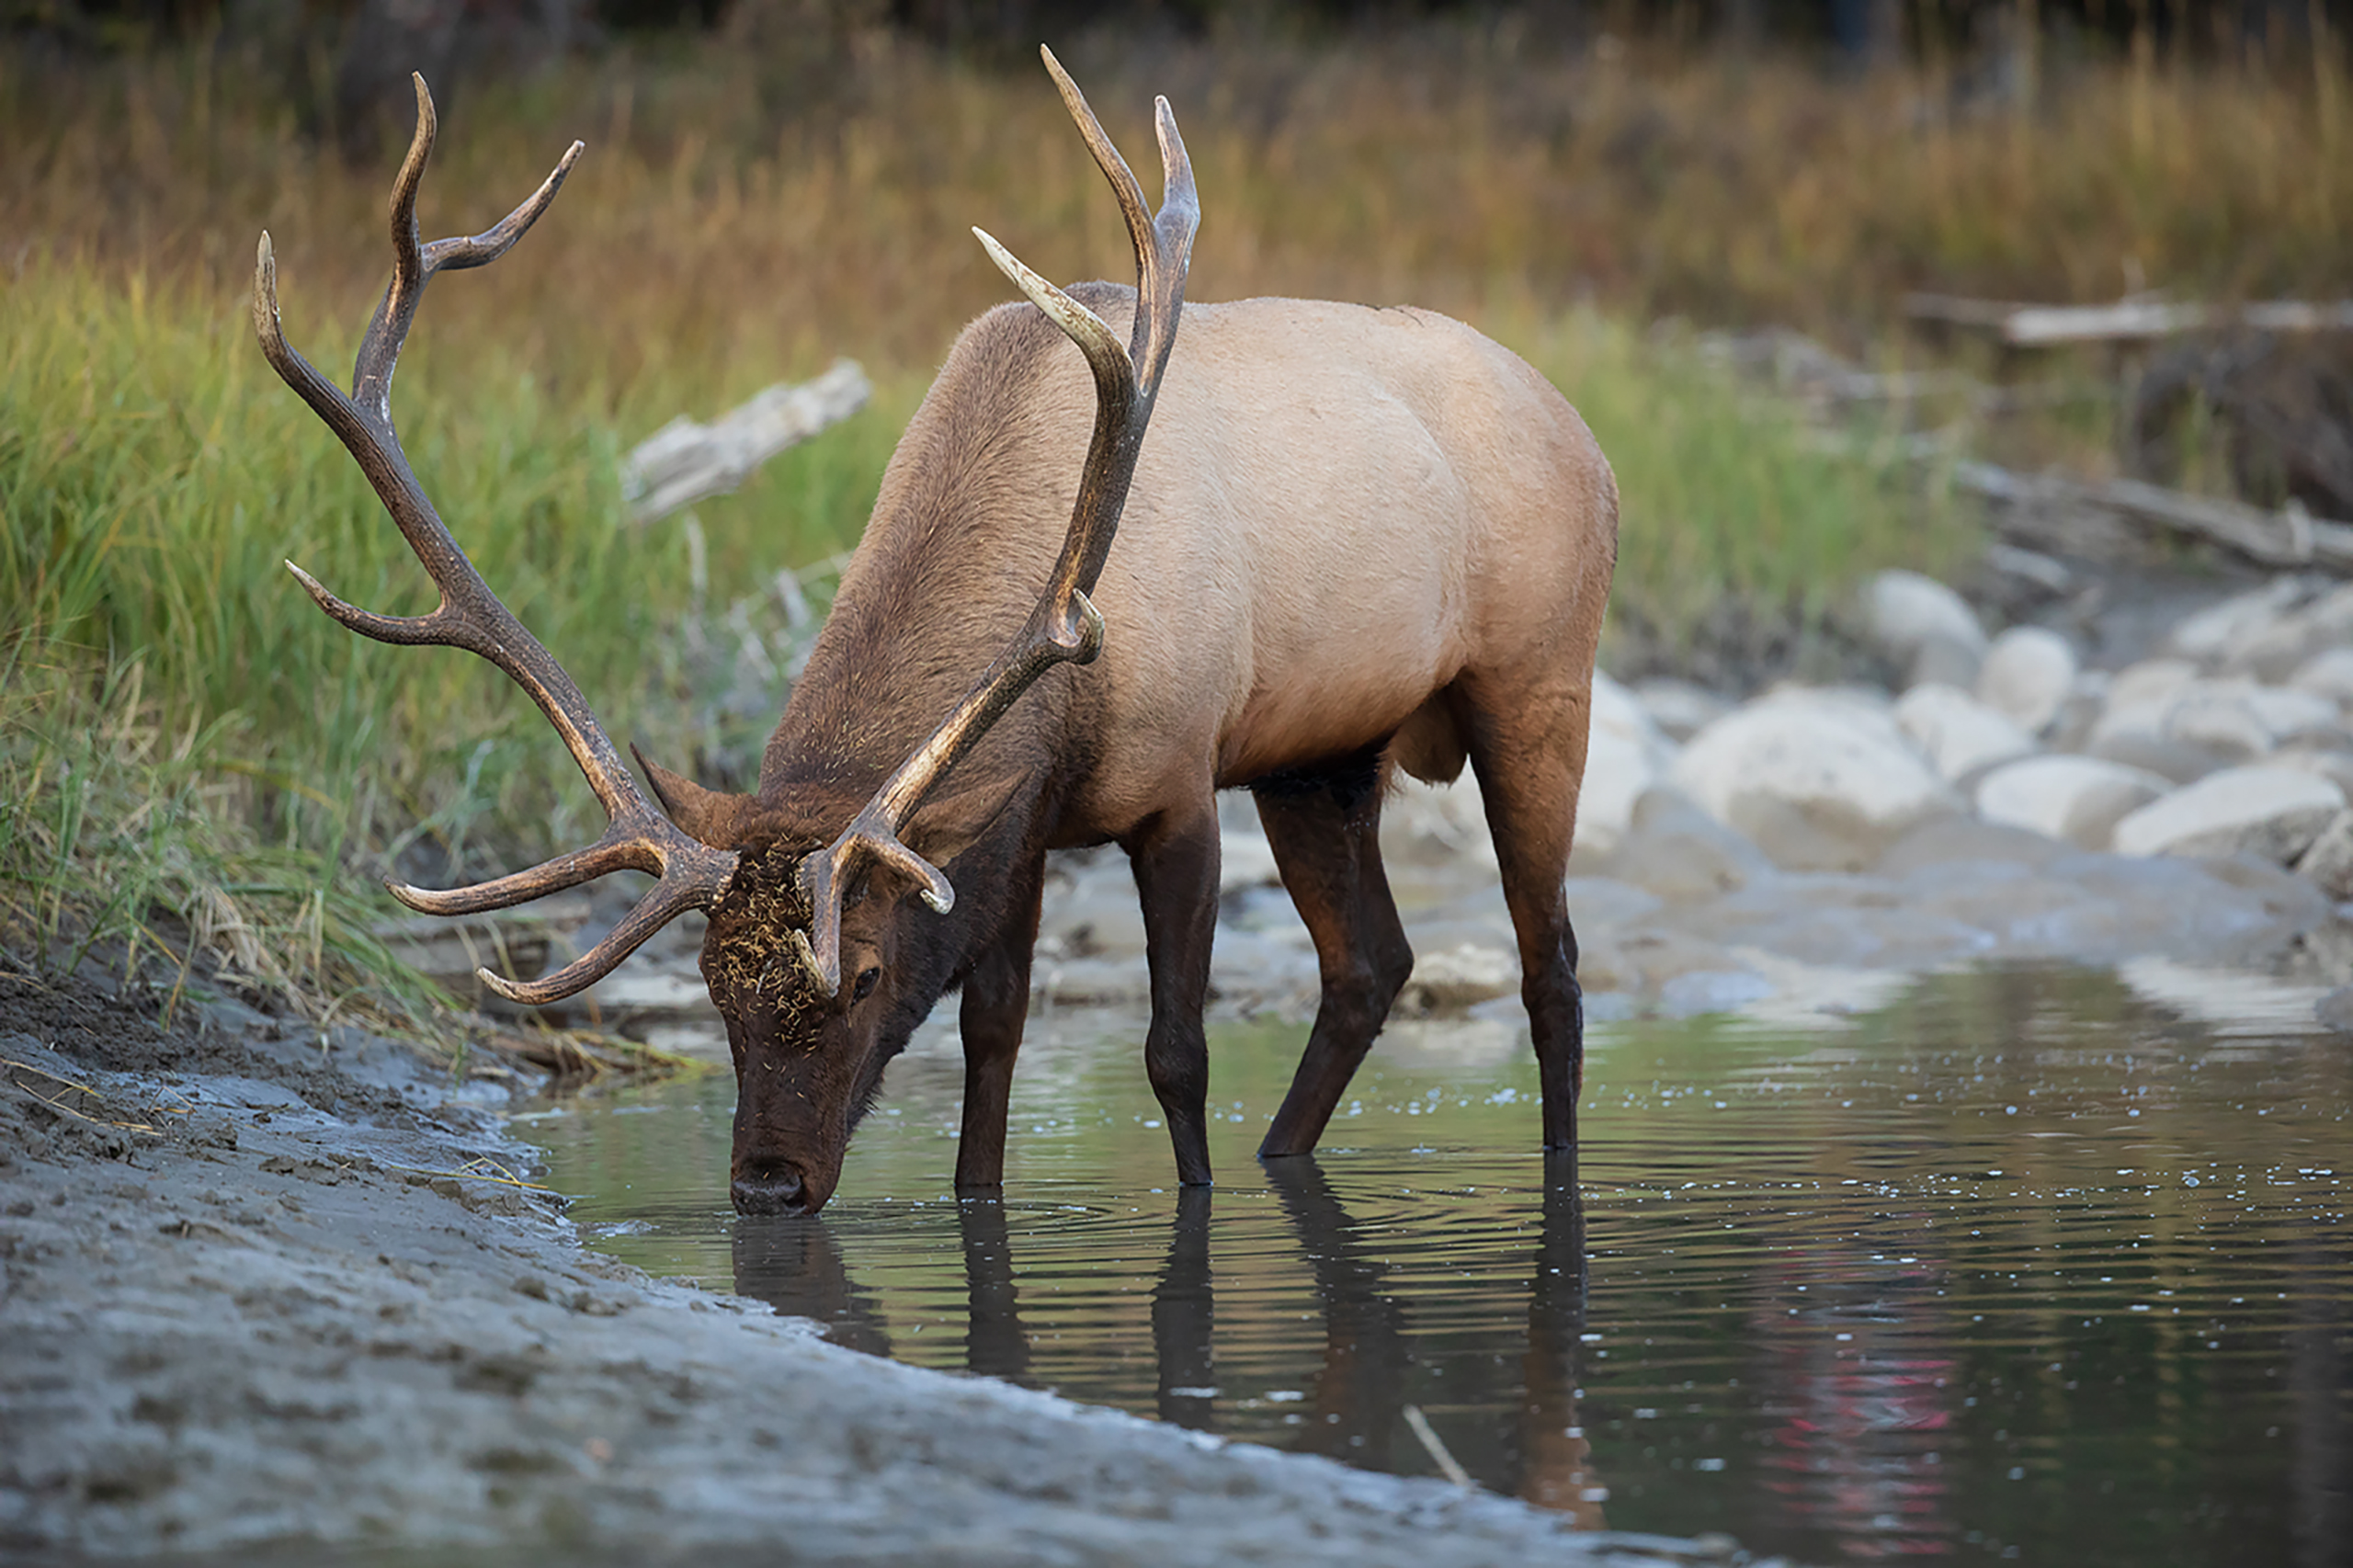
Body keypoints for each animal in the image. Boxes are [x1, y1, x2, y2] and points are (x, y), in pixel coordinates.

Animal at [254, 53, 1617, 1217]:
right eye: (706, 982)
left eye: (859, 974)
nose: (766, 1183)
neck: (1067, 701)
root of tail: (1585, 433)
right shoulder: (1016, 825)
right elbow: (990, 1037)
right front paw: (977, 1202)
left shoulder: (1177, 778)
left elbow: (1174, 1049)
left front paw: (1193, 1201)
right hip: (1322, 757)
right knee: (1371, 963)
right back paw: (1289, 1153)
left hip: (1539, 679)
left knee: (1550, 964)